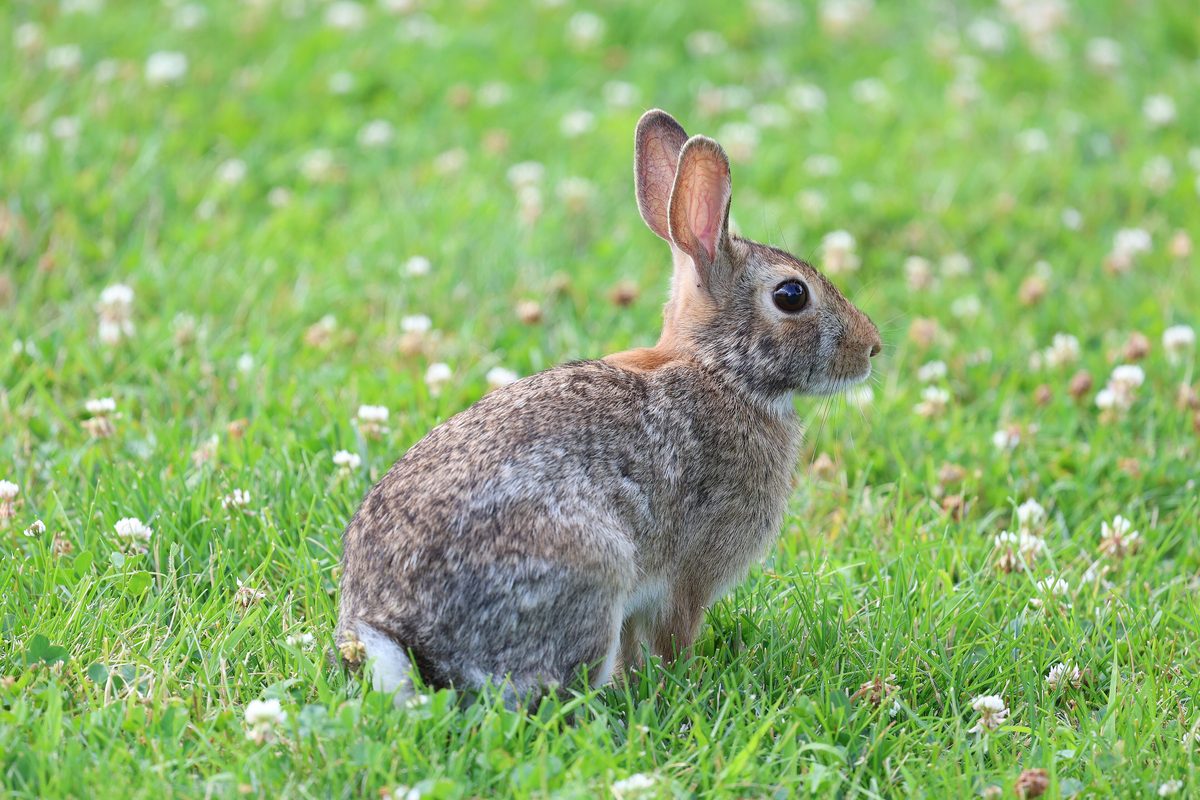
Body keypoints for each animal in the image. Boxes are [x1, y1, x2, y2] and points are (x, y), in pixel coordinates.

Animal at [336, 109, 882, 707]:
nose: (872, 347)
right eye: (791, 295)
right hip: (591, 570)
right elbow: (673, 638)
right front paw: (683, 683)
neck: (722, 372)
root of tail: (404, 640)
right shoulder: (688, 576)